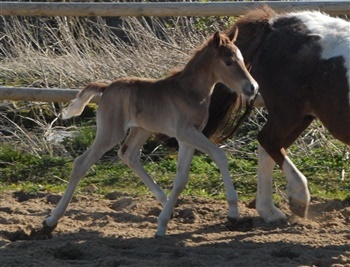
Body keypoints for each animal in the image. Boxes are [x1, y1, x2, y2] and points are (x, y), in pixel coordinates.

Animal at [43, 30, 258, 237]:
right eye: (228, 62)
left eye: (241, 58)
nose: (253, 87)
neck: (189, 91)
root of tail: (106, 88)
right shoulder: (186, 133)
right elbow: (219, 155)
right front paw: (233, 213)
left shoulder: (187, 138)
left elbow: (181, 178)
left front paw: (163, 223)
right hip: (111, 132)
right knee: (81, 163)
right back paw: (51, 221)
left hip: (141, 129)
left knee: (127, 154)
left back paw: (164, 201)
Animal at [206, 5, 348, 224]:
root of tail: (273, 24)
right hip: (288, 111)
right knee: (268, 141)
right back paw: (297, 199)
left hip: (301, 116)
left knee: (269, 147)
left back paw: (269, 212)